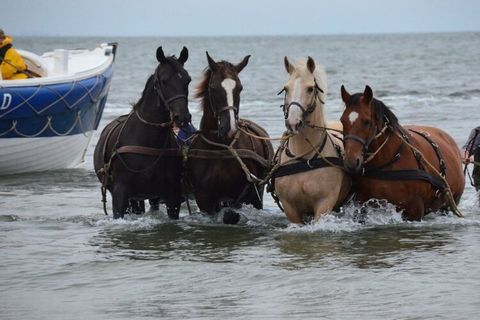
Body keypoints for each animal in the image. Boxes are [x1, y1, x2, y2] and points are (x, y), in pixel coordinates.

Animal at [93, 46, 192, 219]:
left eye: (187, 80)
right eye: (164, 80)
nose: (183, 117)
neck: (149, 141)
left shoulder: (172, 196)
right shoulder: (120, 194)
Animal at [187, 51, 274, 224]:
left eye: (240, 88)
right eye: (213, 88)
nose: (230, 127)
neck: (220, 148)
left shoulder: (241, 195)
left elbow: (231, 214)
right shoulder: (203, 199)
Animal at [272, 56, 350, 224]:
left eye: (310, 89)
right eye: (286, 89)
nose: (293, 122)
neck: (303, 157)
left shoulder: (324, 203)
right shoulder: (290, 207)